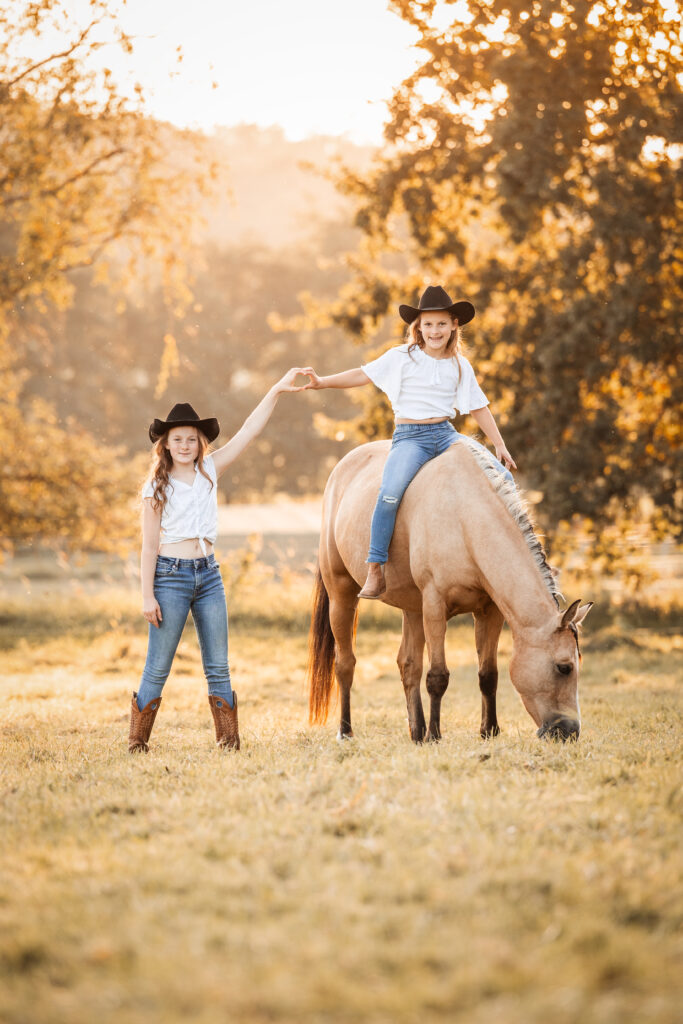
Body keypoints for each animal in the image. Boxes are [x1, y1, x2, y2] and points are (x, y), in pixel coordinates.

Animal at [309, 436, 593, 741]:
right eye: (564, 667)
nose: (569, 731)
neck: (464, 519)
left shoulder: (489, 611)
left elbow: (488, 674)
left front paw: (489, 731)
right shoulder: (435, 606)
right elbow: (437, 676)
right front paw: (435, 735)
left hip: (412, 608)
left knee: (408, 665)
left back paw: (416, 732)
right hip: (341, 594)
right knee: (345, 664)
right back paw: (347, 731)